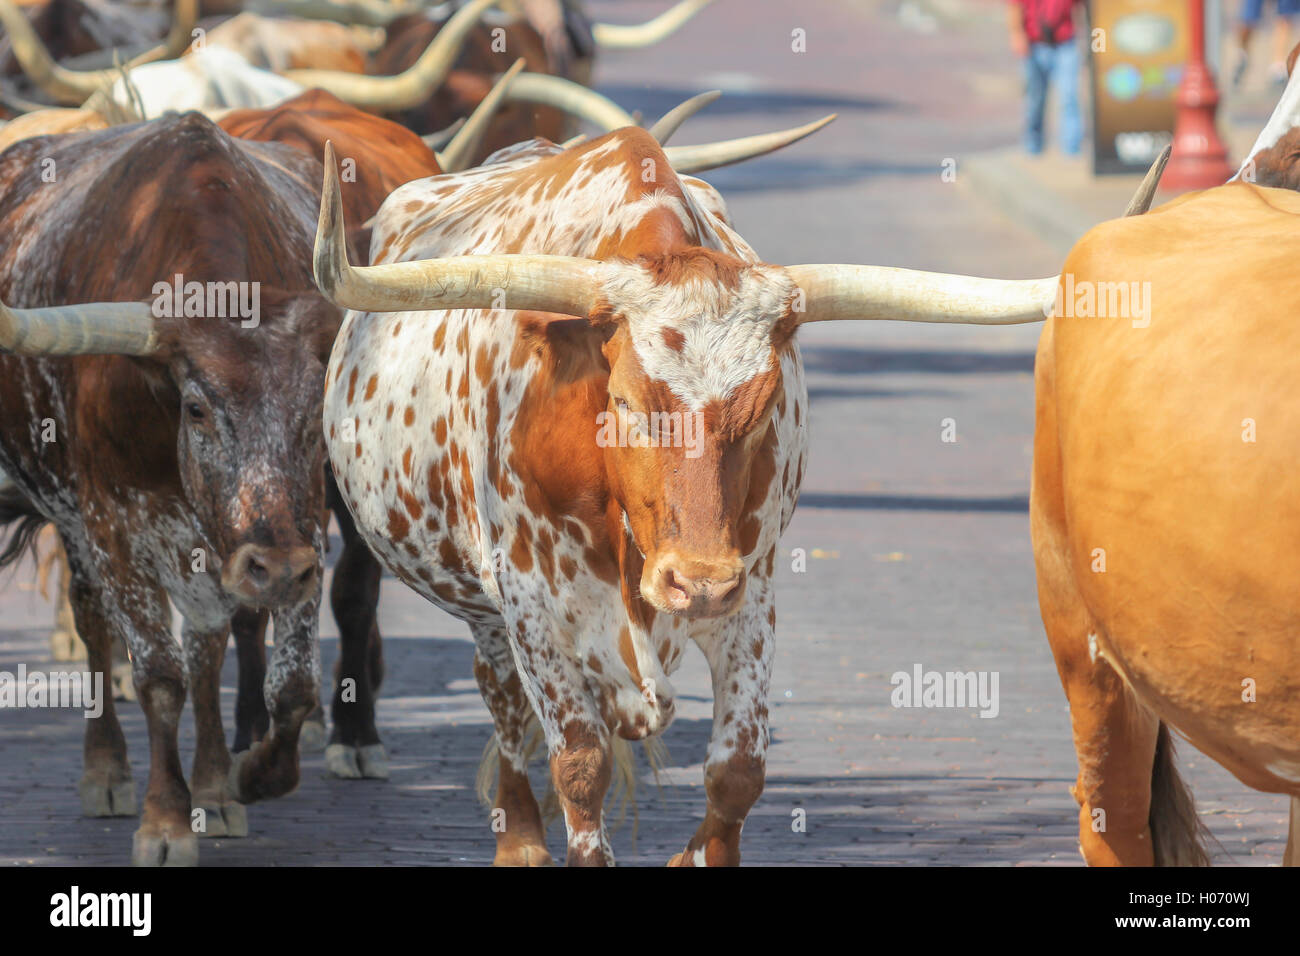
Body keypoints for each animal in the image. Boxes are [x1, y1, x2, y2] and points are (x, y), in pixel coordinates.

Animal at [0, 111, 352, 865]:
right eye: (196, 408)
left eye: (315, 407)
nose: (275, 569)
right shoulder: (111, 523)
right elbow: (158, 676)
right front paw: (164, 822)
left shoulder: (304, 524)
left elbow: (291, 683)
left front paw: (248, 776)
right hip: (77, 522)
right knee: (94, 621)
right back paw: (107, 770)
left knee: (209, 646)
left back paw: (214, 788)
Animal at [308, 125, 1064, 865]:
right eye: (624, 401)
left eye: (763, 407)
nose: (697, 582)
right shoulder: (531, 610)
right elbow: (580, 766)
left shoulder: (752, 596)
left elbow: (738, 772)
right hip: (488, 615)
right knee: (506, 711)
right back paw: (519, 840)